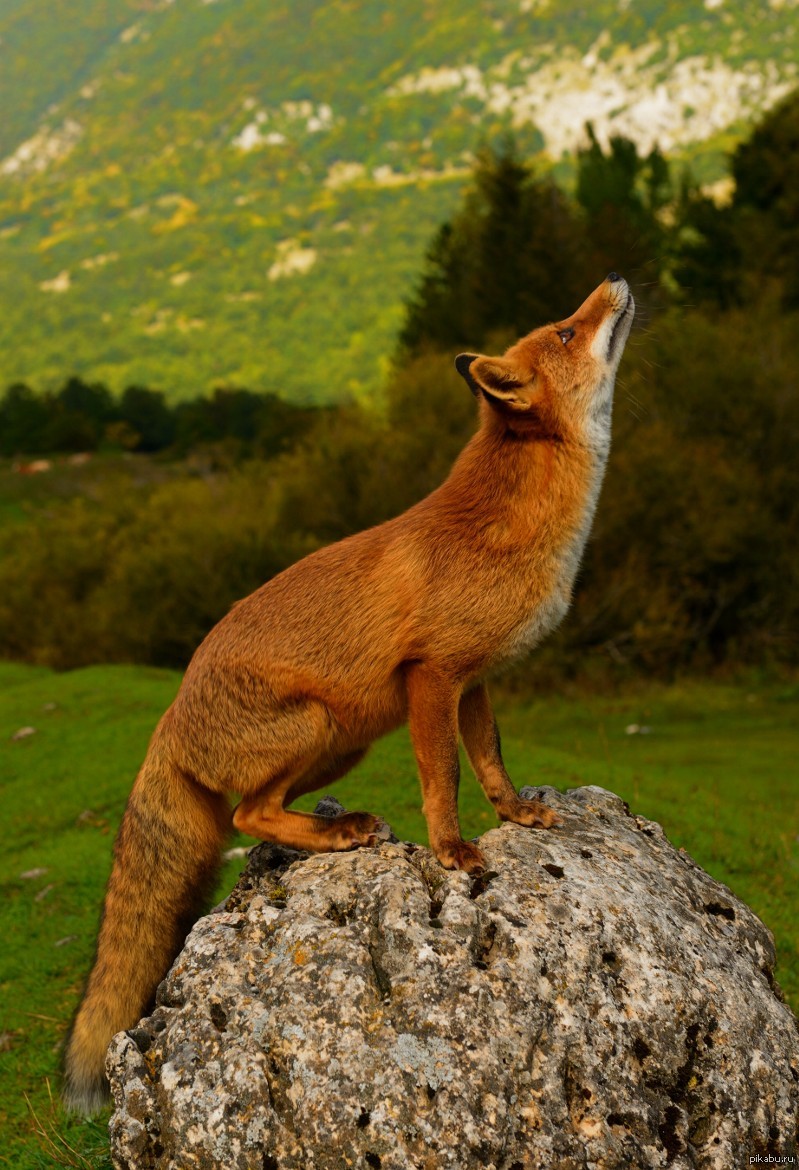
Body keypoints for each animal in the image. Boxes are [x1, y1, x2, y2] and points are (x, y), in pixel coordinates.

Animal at [60, 273, 636, 1113]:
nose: (614, 280)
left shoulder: (473, 681)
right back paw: (337, 836)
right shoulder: (431, 676)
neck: (513, 529)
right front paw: (453, 851)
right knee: (246, 815)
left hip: (341, 746)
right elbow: (442, 777)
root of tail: (168, 716)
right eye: (564, 330)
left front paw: (516, 814)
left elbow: (490, 761)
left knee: (257, 815)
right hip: (317, 725)